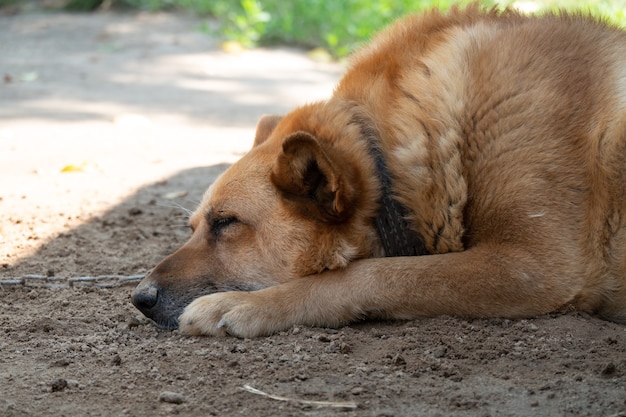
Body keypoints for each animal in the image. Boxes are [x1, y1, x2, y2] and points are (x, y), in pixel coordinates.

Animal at [132, 3, 624, 336]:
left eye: (227, 222)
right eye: (195, 226)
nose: (140, 298)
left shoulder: (531, 265)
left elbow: (370, 274)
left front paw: (247, 305)